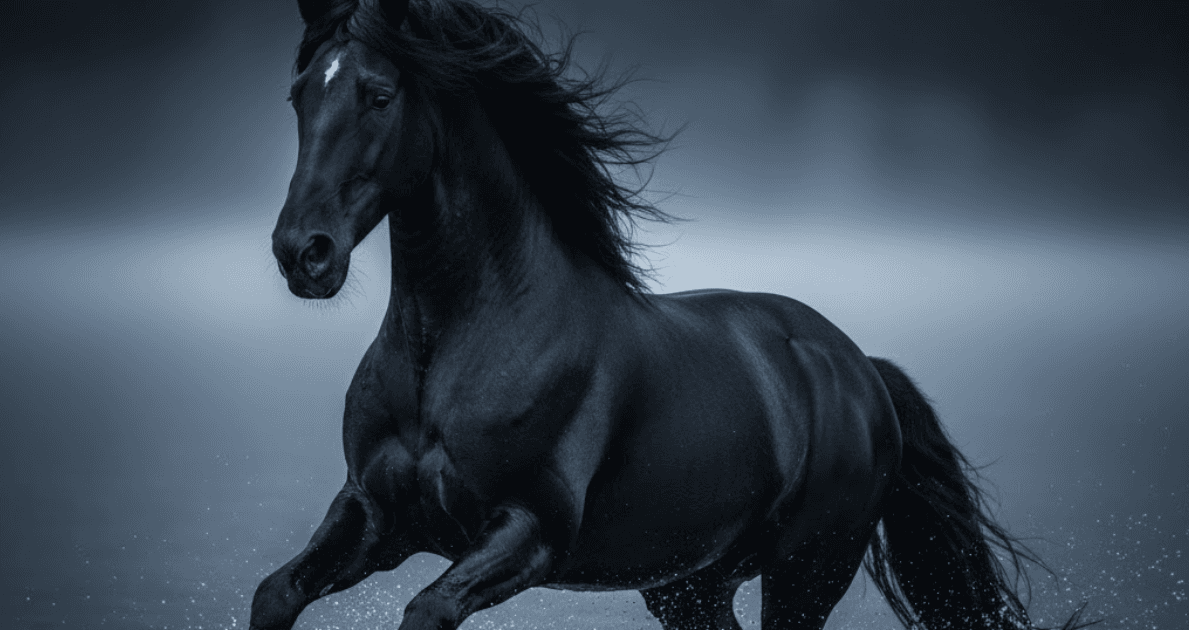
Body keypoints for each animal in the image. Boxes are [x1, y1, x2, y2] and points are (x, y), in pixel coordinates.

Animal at [250, 1, 1092, 629]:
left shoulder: (528, 531)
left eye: (378, 95)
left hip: (806, 571)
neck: (453, 350)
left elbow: (426, 610)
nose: (303, 253)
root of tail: (860, 369)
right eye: (298, 94)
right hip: (690, 585)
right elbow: (274, 593)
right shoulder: (373, 517)